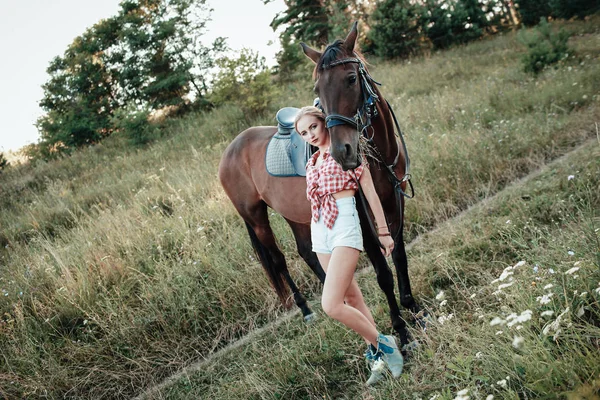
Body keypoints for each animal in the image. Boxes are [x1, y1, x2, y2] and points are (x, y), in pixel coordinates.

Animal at [218, 23, 420, 346]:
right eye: (318, 90)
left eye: (351, 78)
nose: (342, 152)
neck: (380, 157)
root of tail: (230, 150)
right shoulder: (363, 221)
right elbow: (383, 274)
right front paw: (401, 330)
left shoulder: (394, 203)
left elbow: (400, 257)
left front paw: (414, 308)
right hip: (256, 217)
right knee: (278, 260)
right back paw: (305, 309)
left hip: (293, 212)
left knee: (306, 251)